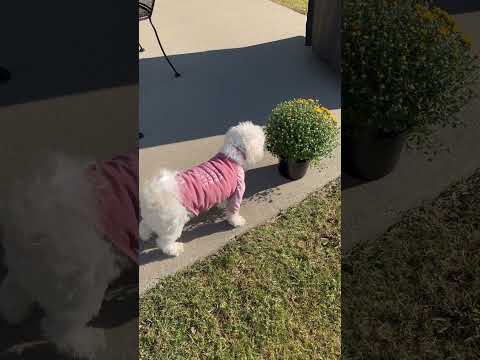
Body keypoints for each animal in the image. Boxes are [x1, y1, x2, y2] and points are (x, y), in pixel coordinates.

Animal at [0, 151, 139, 358]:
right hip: (84, 282)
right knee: (63, 330)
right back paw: (88, 344)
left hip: (28, 269)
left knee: (12, 288)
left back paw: (14, 311)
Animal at [139, 121, 266, 256]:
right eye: (262, 140)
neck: (232, 155)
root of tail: (152, 194)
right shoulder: (237, 191)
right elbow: (233, 211)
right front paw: (236, 221)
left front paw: (222, 205)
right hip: (174, 222)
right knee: (164, 242)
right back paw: (175, 249)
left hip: (153, 218)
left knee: (144, 225)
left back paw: (145, 235)